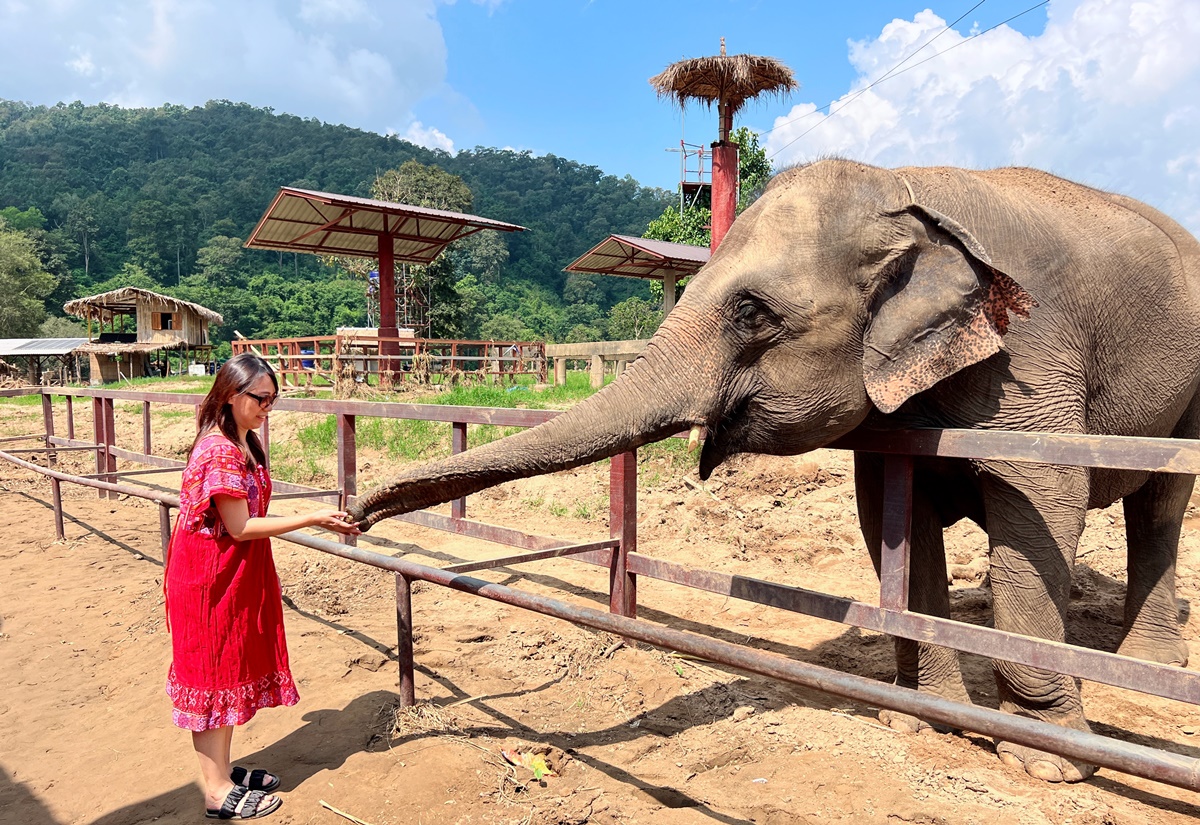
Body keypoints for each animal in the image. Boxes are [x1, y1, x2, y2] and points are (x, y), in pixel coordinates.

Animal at [348, 160, 1200, 786]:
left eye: (750, 313)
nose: (354, 515)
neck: (904, 186)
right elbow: (894, 520)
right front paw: (921, 719)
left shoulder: (1031, 354)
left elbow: (1043, 500)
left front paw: (1048, 763)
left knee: (1162, 499)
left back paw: (1147, 666)